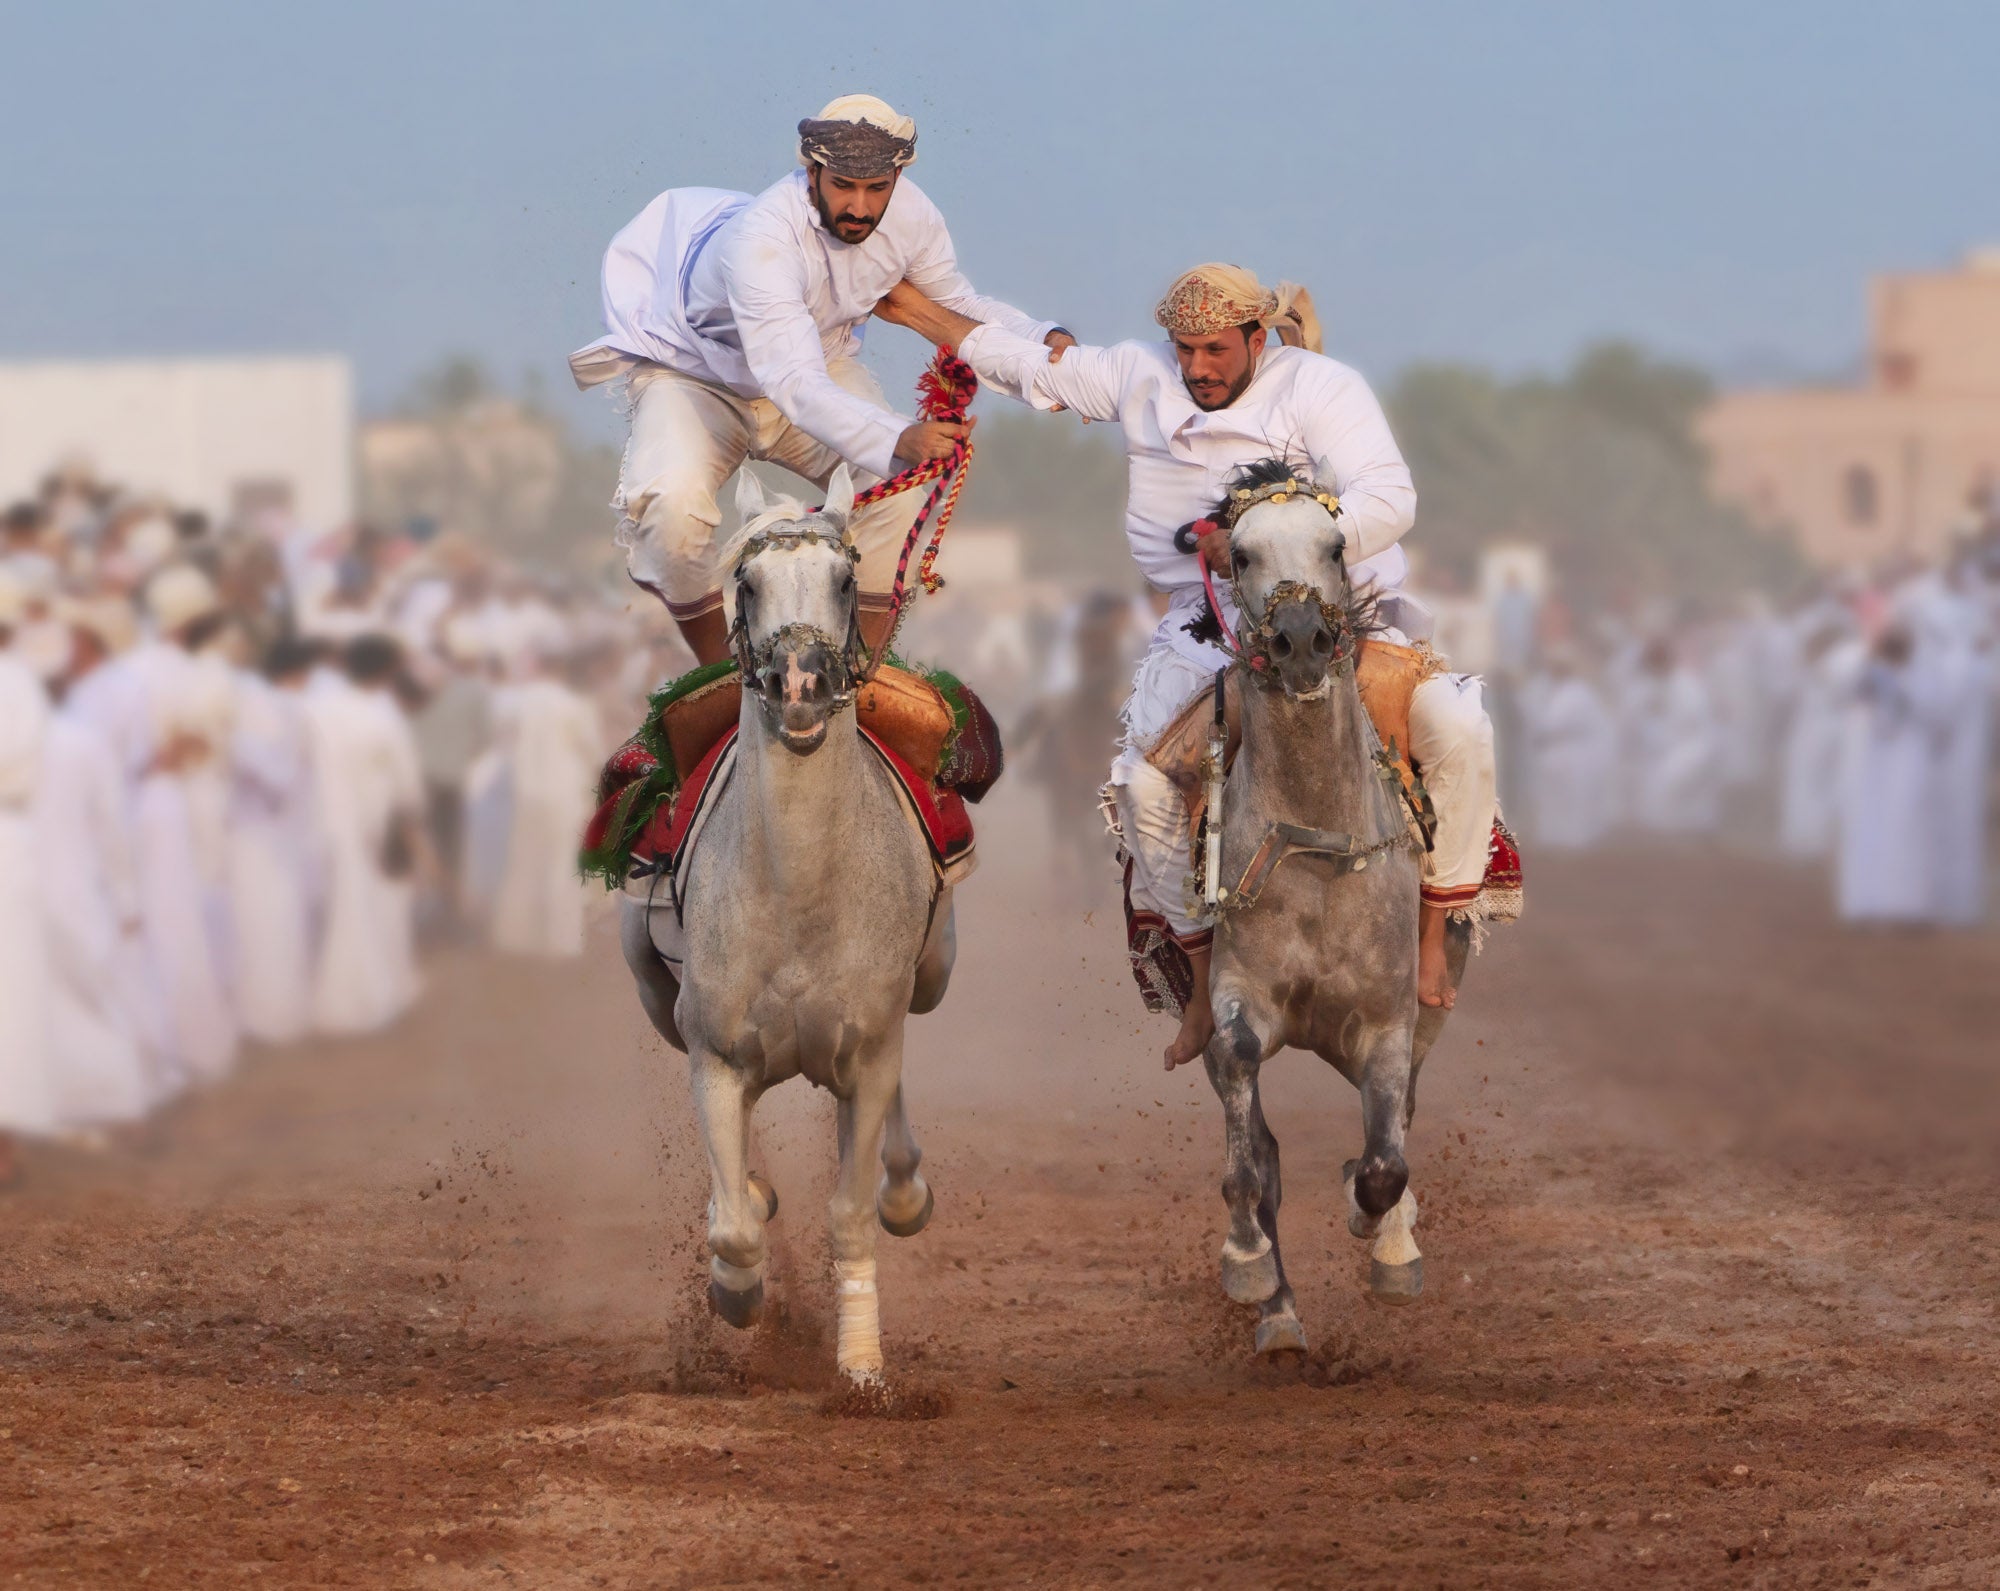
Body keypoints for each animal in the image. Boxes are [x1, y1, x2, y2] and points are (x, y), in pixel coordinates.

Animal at [620, 469, 956, 1383]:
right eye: (747, 582)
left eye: (844, 580)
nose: (799, 683)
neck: (801, 899)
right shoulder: (715, 1048)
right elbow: (733, 1223)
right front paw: (736, 1293)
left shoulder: (868, 1045)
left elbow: (852, 1209)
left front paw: (862, 1365)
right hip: (653, 991)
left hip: (929, 975)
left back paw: (905, 1187)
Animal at [1200, 471, 1472, 1351]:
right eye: (1240, 553)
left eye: (1335, 546)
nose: (1301, 641)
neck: (1318, 845)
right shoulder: (1236, 997)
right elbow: (1251, 1141)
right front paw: (1248, 1261)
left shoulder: (1388, 1021)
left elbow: (1386, 1161)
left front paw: (1381, 1231)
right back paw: (1279, 1311)